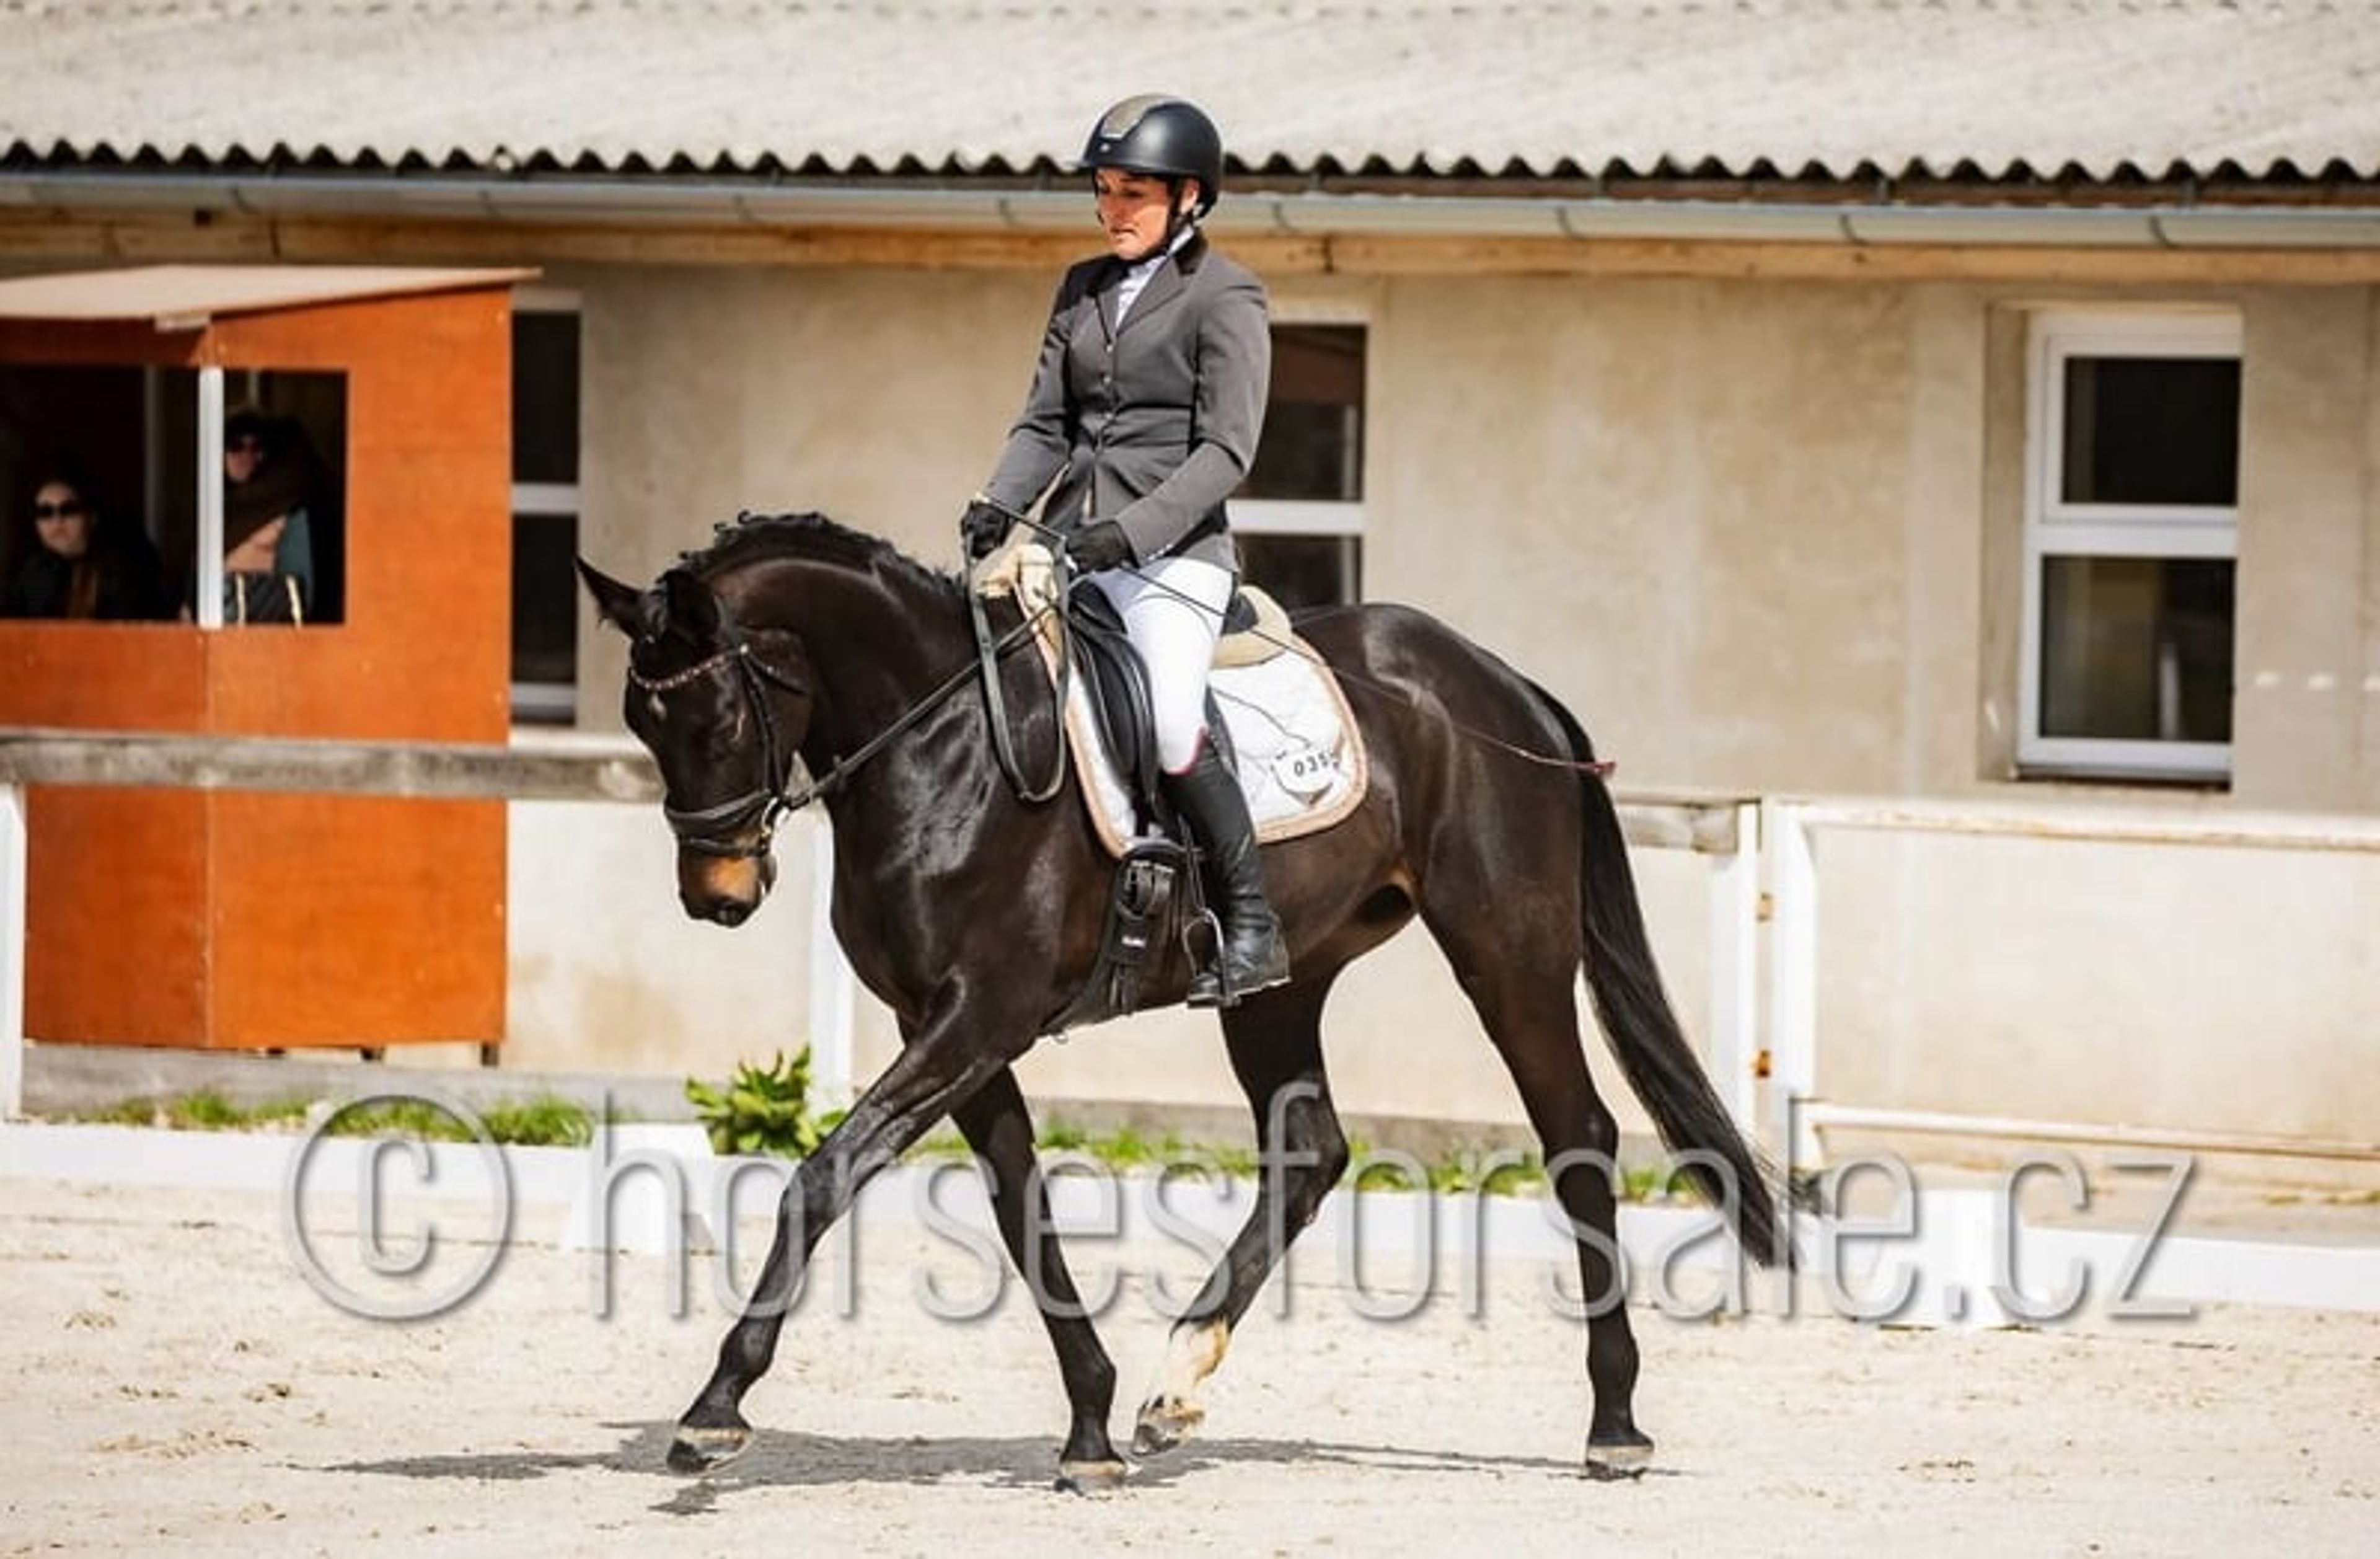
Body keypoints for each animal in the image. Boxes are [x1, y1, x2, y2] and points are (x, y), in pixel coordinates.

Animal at [577, 511, 1789, 1490]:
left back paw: (1616, 1425)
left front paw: (713, 1411)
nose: (718, 896)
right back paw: (1176, 1384)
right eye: (642, 725)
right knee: (1310, 1151)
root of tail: (1503, 686)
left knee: (1577, 1133)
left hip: (1508, 949)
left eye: (716, 720)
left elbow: (822, 1180)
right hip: (1278, 981)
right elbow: (1021, 1205)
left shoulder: (979, 1015)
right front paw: (1093, 1428)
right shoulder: (950, 1027)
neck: (945, 746)